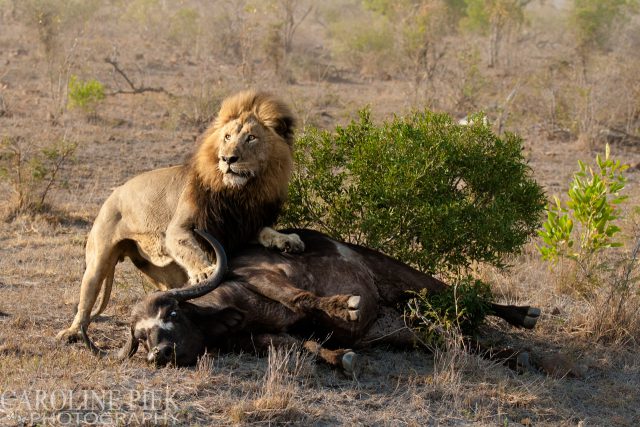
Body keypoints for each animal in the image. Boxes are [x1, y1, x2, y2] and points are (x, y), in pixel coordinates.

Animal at [57, 91, 304, 344]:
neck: (237, 193)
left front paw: (288, 240)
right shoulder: (180, 228)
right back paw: (71, 332)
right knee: (86, 300)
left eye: (251, 138)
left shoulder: (239, 227)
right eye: (227, 137)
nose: (227, 159)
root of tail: (114, 193)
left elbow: (265, 231)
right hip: (98, 259)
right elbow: (188, 245)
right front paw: (206, 271)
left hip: (162, 269)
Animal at [81, 229, 540, 372]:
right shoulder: (265, 341)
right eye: (140, 337)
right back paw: (514, 357)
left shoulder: (268, 280)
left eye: (172, 311)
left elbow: (302, 300)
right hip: (395, 328)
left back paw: (525, 316)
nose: (157, 354)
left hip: (403, 275)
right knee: (446, 340)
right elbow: (305, 346)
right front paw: (340, 358)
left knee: (458, 295)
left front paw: (345, 306)